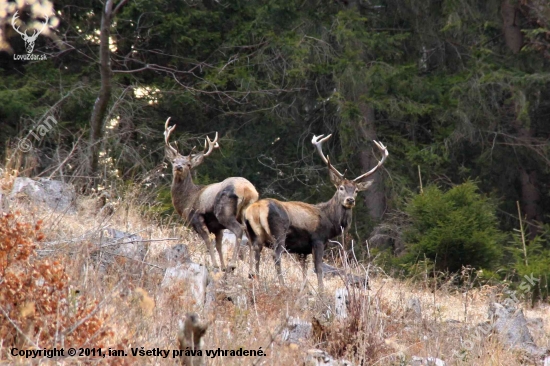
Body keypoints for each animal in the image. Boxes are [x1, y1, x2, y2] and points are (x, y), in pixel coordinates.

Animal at [164, 118, 260, 270]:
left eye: (188, 164)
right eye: (174, 161)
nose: (179, 167)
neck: (187, 201)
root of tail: (247, 190)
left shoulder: (197, 218)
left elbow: (208, 243)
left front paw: (215, 265)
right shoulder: (217, 228)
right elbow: (219, 245)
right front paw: (222, 267)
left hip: (224, 211)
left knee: (239, 230)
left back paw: (233, 264)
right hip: (246, 214)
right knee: (251, 237)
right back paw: (251, 272)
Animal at [244, 134, 390, 292]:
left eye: (356, 190)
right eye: (341, 188)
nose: (350, 200)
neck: (331, 222)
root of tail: (256, 209)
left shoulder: (302, 250)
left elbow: (304, 269)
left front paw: (305, 289)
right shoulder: (318, 239)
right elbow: (318, 268)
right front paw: (321, 291)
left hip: (252, 234)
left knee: (255, 252)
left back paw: (255, 280)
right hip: (279, 232)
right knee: (275, 256)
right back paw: (282, 284)